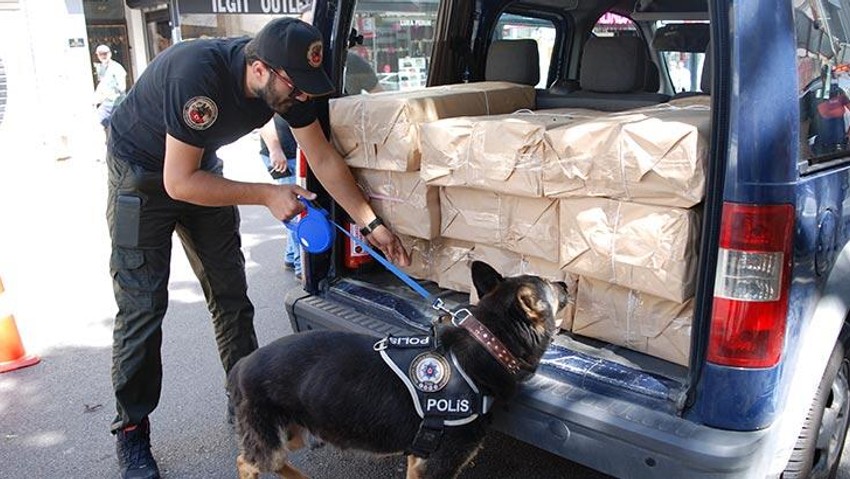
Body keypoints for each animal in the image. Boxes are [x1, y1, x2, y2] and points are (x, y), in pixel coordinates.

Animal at [229, 262, 568, 479]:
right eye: (549, 285)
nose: (565, 283)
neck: (488, 341)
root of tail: (241, 364)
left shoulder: (418, 461)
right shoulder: (436, 466)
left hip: (298, 431)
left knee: (262, 460)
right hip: (274, 440)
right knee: (246, 462)